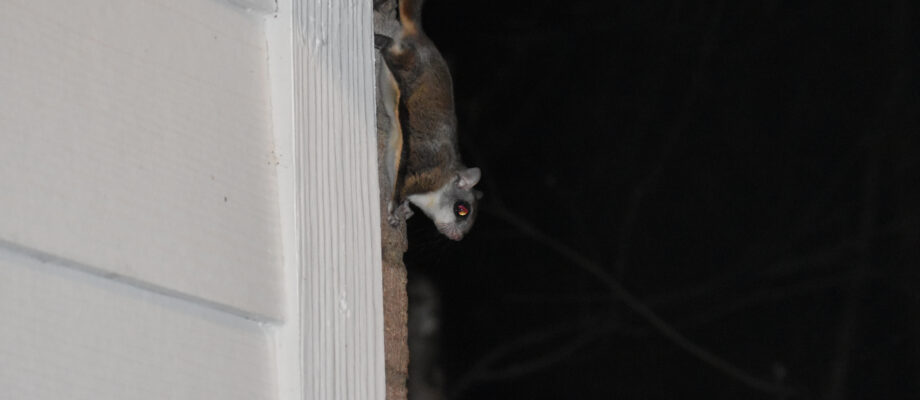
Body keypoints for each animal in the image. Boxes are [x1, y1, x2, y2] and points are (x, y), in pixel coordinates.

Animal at [377, 0, 482, 241]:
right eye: (462, 209)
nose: (458, 238)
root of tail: (420, 35)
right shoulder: (422, 173)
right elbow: (398, 191)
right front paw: (394, 211)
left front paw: (405, 210)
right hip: (406, 62)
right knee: (390, 47)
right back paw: (379, 41)